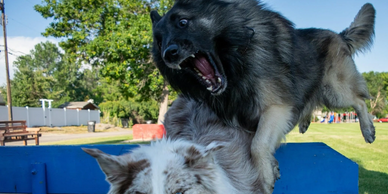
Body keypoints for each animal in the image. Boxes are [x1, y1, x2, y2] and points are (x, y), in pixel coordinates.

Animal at [150, 1, 374, 192]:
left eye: (183, 22)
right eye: (159, 42)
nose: (168, 53)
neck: (236, 62)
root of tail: (339, 35)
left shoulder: (276, 108)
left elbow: (257, 144)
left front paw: (265, 177)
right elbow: (262, 141)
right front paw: (270, 165)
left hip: (334, 91)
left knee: (359, 100)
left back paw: (368, 129)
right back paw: (304, 122)